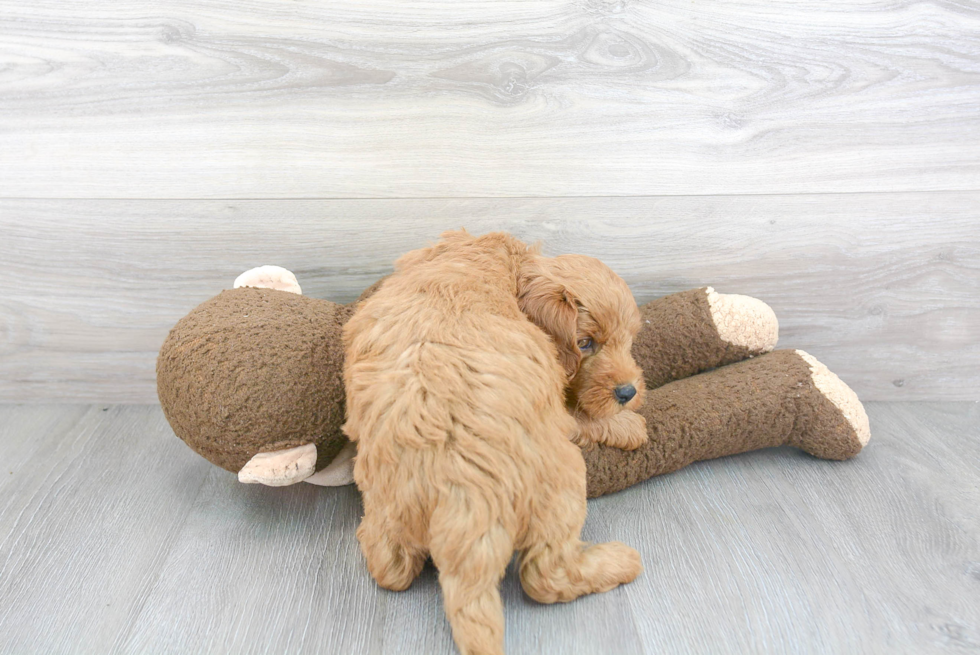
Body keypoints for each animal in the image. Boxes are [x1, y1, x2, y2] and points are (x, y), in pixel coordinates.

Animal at [342, 231, 644, 655]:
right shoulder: (558, 411)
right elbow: (585, 419)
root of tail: (466, 501)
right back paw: (619, 560)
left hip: (386, 504)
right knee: (545, 575)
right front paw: (631, 425)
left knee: (389, 567)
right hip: (563, 479)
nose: (628, 391)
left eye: (628, 340)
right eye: (585, 343)